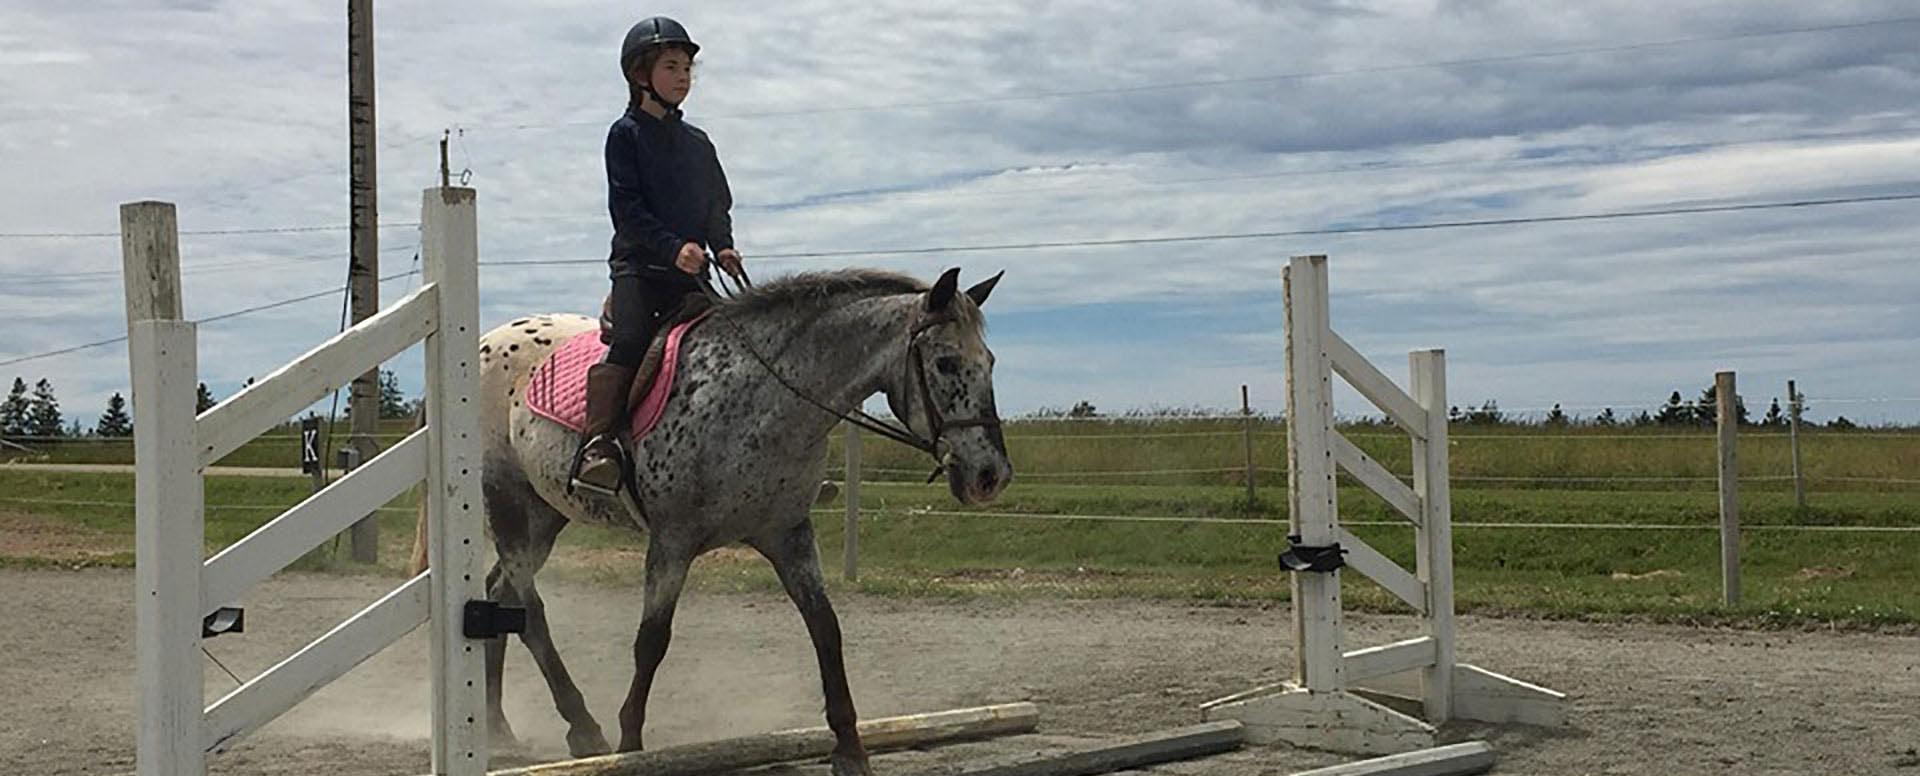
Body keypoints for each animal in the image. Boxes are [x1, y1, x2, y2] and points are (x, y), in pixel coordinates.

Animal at [405, 266, 1006, 776]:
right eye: (946, 363)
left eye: (992, 363)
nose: (990, 475)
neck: (761, 399)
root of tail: (484, 341)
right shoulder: (673, 539)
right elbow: (652, 641)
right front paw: (630, 746)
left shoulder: (788, 535)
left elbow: (826, 629)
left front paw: (850, 749)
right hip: (506, 501)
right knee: (528, 610)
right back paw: (583, 728)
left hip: (545, 514)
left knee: (499, 594)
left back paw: (498, 725)